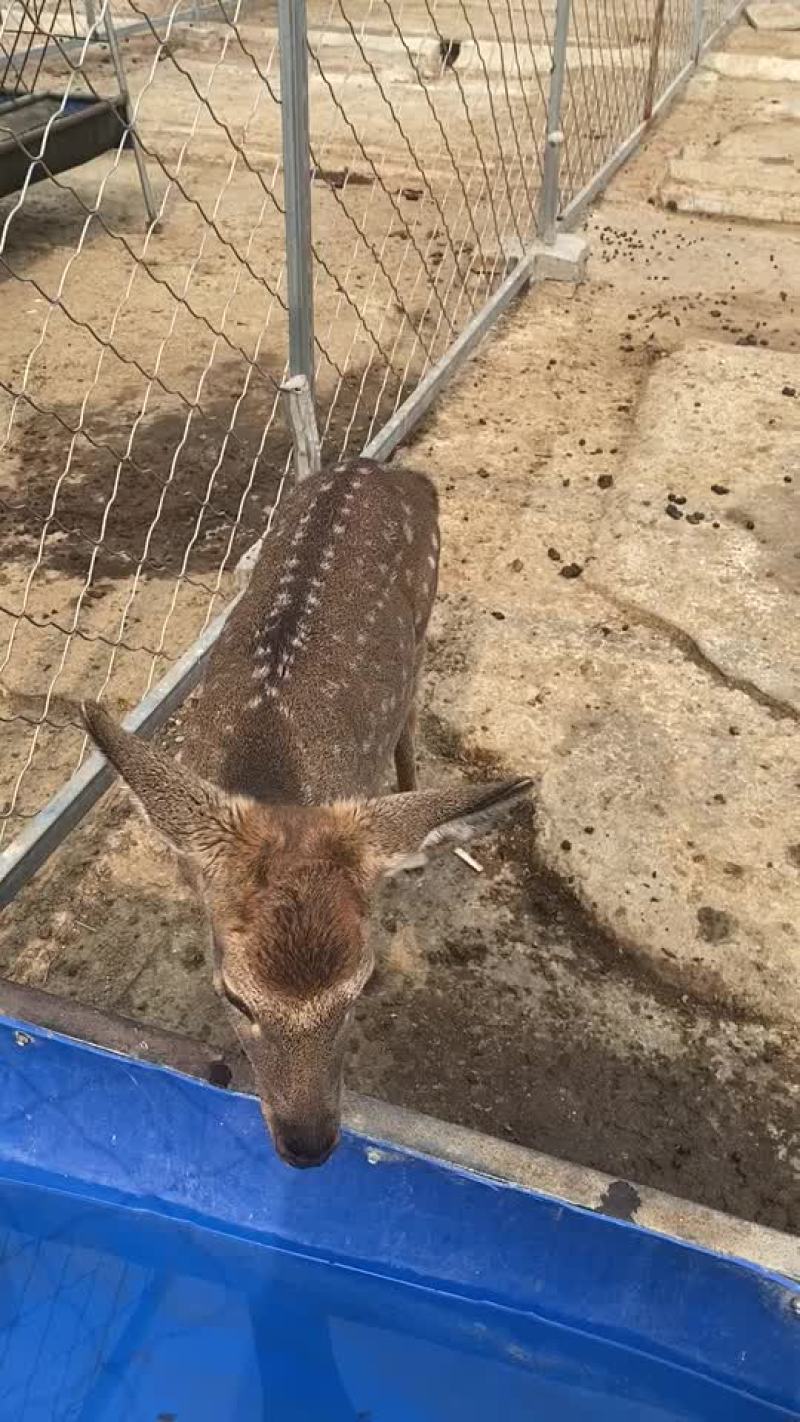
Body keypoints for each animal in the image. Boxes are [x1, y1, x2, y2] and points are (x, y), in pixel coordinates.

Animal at [83, 455, 532, 1169]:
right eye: (234, 996)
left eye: (362, 989)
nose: (308, 1144)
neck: (273, 777)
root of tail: (388, 468)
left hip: (425, 612)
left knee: (409, 714)